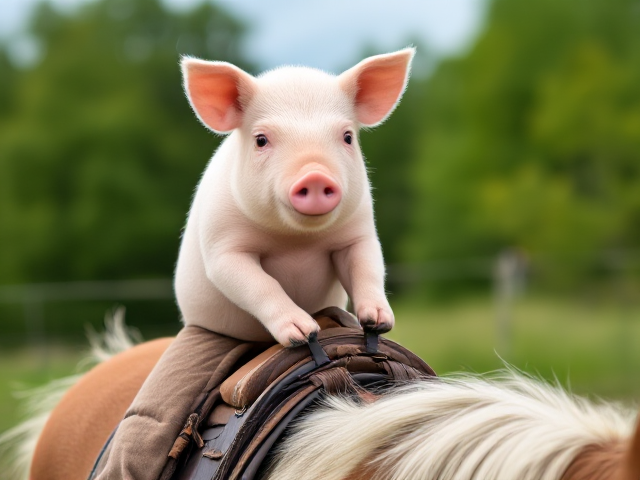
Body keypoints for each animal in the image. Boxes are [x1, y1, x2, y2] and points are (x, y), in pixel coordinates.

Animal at [174, 48, 415, 346]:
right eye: (261, 140)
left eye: (347, 137)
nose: (315, 175)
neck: (298, 241)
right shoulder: (222, 246)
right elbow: (260, 284)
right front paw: (304, 333)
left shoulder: (359, 230)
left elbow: (367, 267)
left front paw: (379, 322)